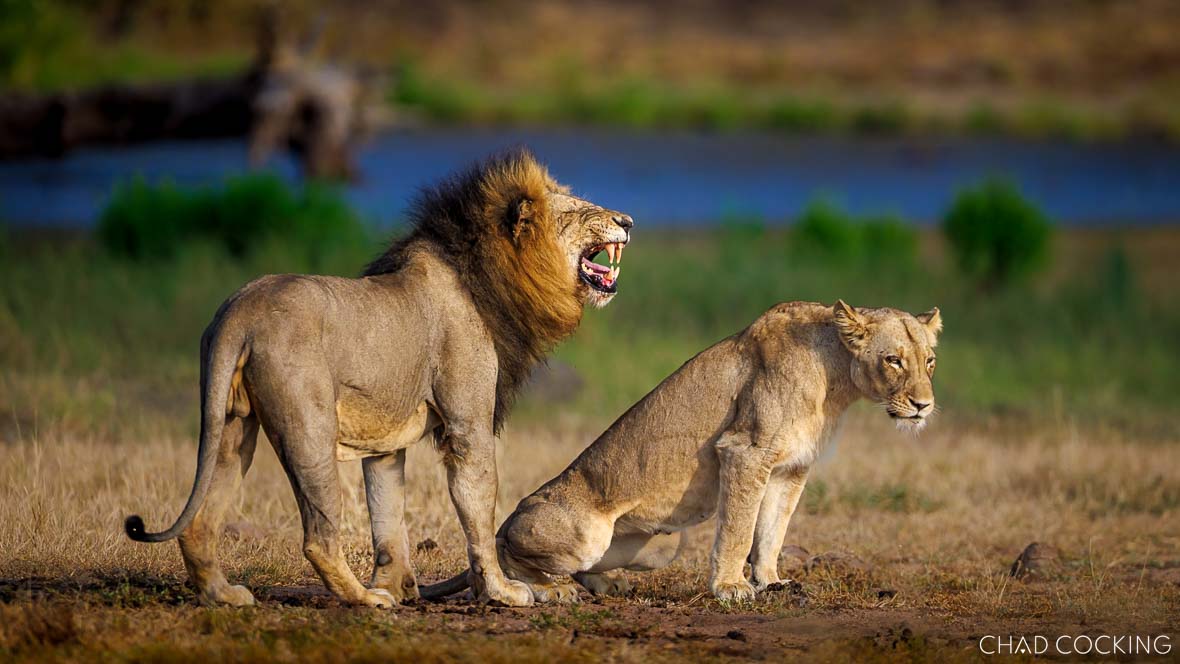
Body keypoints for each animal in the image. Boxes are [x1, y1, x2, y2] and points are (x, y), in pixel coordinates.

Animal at [124, 149, 634, 608]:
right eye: (579, 210)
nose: (628, 221)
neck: (490, 280)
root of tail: (240, 309)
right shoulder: (468, 425)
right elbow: (479, 512)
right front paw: (501, 591)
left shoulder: (385, 444)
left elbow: (387, 513)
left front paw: (398, 585)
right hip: (309, 430)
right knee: (317, 536)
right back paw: (364, 600)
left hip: (230, 427)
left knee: (199, 523)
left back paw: (224, 596)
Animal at [422, 300, 941, 603]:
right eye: (893, 360)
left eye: (930, 361)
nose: (924, 405)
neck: (835, 381)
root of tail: (509, 519)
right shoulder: (744, 451)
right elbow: (738, 529)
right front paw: (732, 588)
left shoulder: (791, 469)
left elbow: (772, 531)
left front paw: (772, 581)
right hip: (575, 531)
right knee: (503, 553)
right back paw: (547, 590)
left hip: (660, 542)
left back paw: (606, 584)